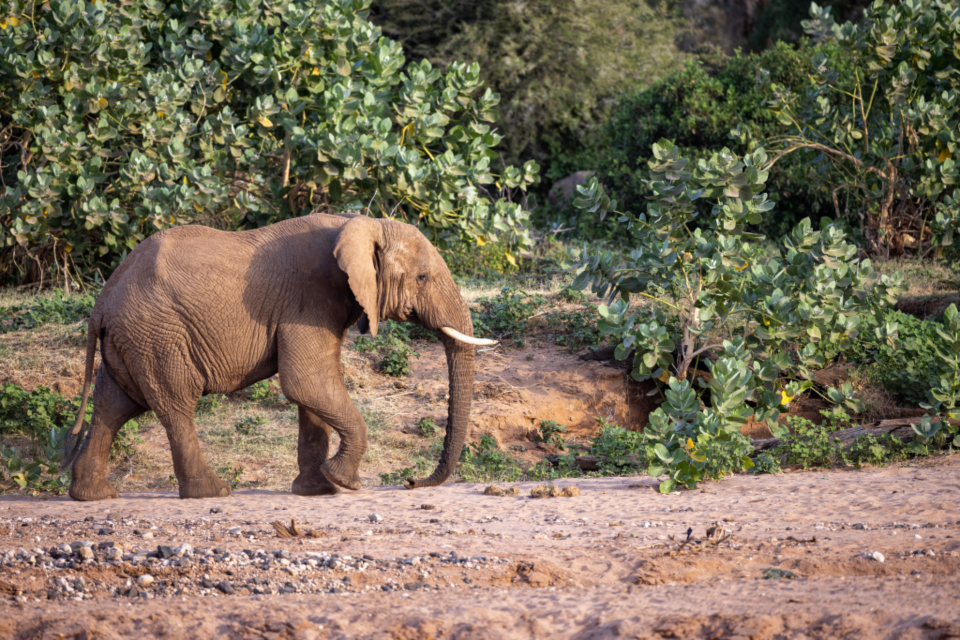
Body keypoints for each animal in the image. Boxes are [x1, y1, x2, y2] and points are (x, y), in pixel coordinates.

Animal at [62, 212, 494, 501]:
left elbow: (313, 393)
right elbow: (307, 382)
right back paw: (213, 492)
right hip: (157, 335)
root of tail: (102, 301)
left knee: (114, 406)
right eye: (422, 278)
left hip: (131, 340)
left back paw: (94, 496)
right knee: (175, 405)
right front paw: (345, 483)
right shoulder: (310, 297)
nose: (410, 481)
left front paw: (319, 490)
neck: (359, 222)